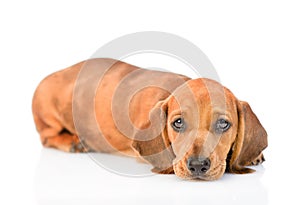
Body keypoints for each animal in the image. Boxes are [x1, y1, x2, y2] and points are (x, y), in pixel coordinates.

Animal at [32, 57, 268, 179]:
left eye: (223, 124)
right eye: (178, 123)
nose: (197, 166)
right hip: (48, 115)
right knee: (46, 137)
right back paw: (71, 142)